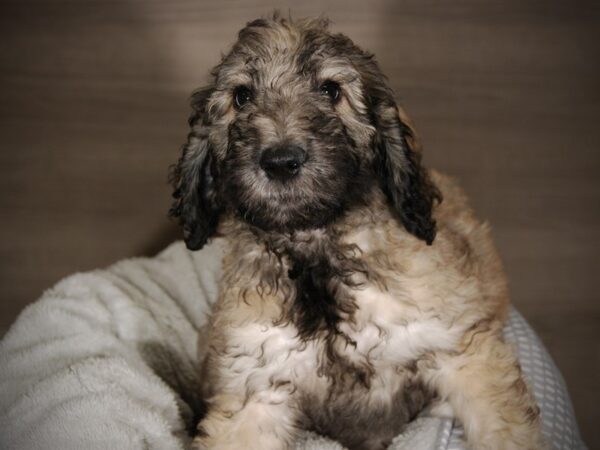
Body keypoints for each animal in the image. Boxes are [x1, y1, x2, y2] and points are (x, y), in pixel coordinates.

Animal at [169, 14, 544, 450]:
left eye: (331, 90)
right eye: (242, 97)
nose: (280, 162)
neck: (318, 253)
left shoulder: (459, 351)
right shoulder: (255, 388)